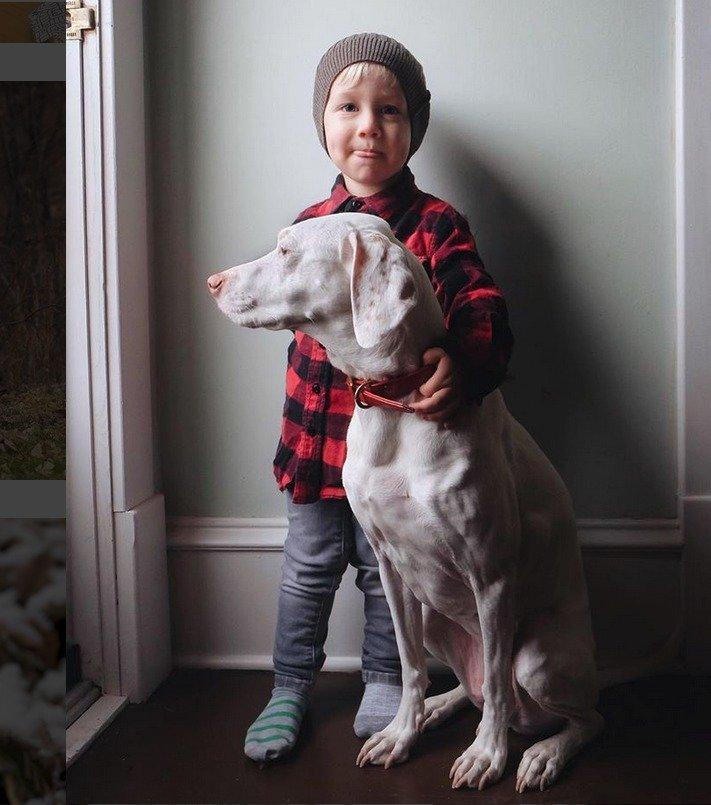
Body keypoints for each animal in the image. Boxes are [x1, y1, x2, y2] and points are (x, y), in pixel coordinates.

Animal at [207, 213, 603, 792]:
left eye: (286, 251)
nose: (212, 282)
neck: (397, 405)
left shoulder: (492, 576)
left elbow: (498, 692)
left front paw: (487, 755)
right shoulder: (390, 566)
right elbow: (409, 663)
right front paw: (401, 731)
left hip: (538, 659)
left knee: (570, 714)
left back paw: (542, 754)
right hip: (438, 620)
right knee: (476, 688)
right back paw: (441, 707)